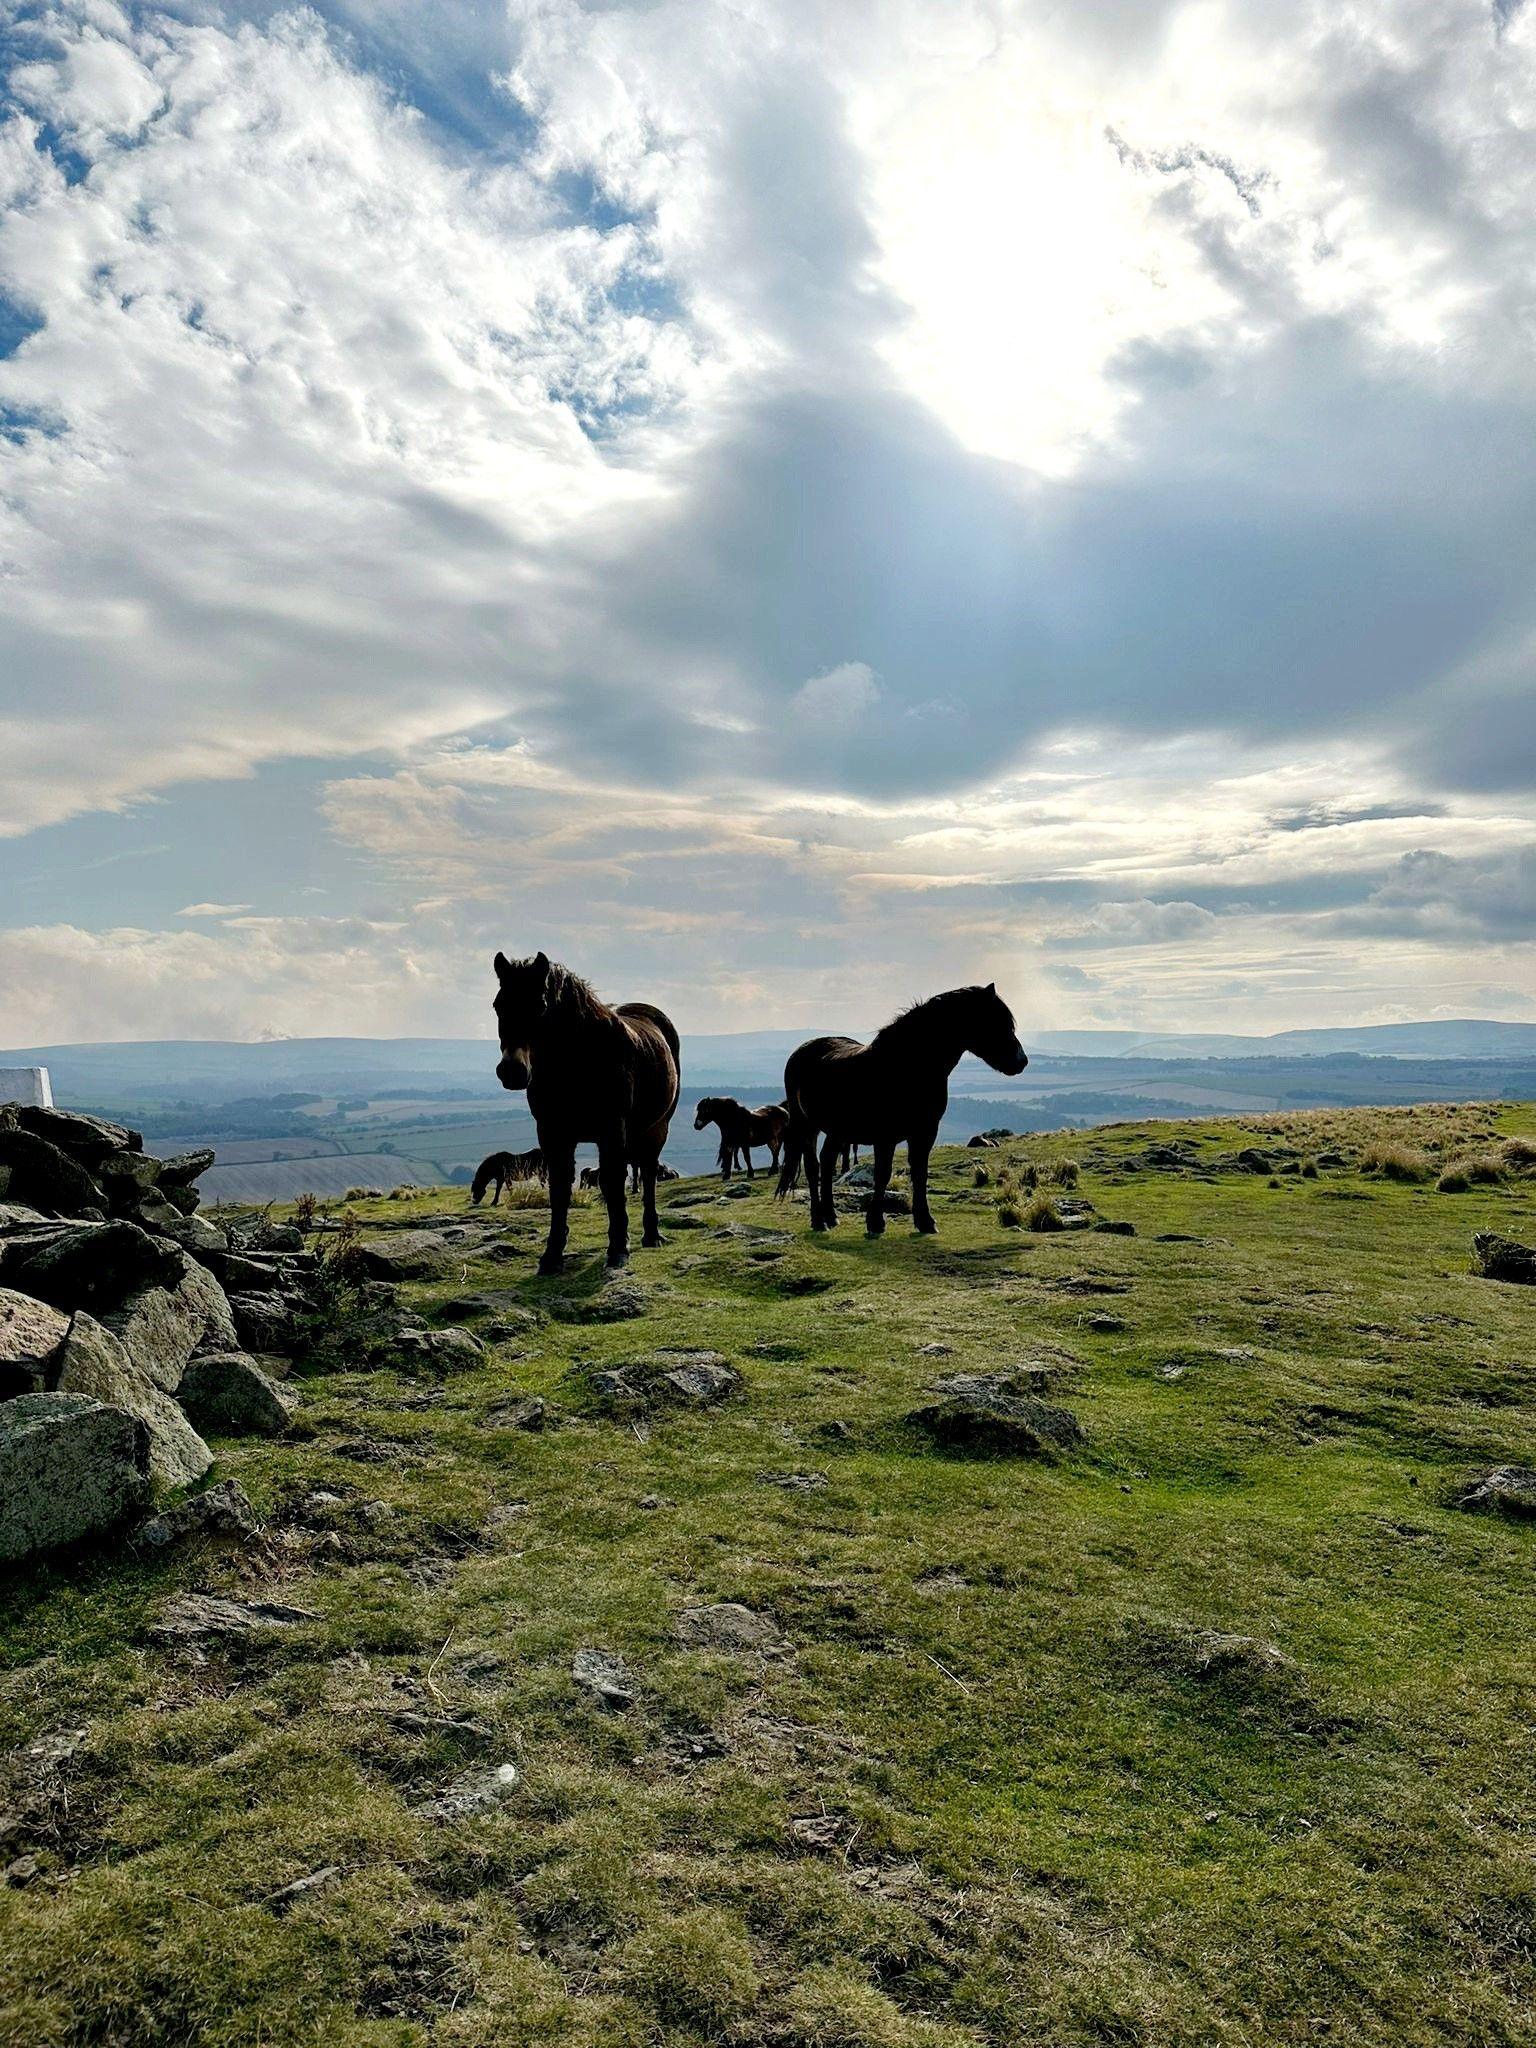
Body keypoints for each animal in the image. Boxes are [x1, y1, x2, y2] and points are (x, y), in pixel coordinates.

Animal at [495, 950, 684, 1269]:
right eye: (498, 1005)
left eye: (540, 1006)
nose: (512, 1071)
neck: (579, 1061)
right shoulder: (553, 1134)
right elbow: (560, 1188)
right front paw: (552, 1255)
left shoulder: (612, 1130)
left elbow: (613, 1182)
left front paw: (618, 1247)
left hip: (656, 1129)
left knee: (647, 1175)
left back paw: (651, 1234)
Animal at [782, 987, 1036, 1236]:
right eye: (996, 1022)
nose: (1021, 1061)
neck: (907, 1066)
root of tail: (802, 1051)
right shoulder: (885, 1137)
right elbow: (883, 1174)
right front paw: (875, 1222)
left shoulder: (925, 1132)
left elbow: (920, 1173)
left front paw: (925, 1221)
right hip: (807, 1126)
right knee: (813, 1168)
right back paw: (818, 1220)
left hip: (837, 1130)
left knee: (826, 1162)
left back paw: (831, 1216)